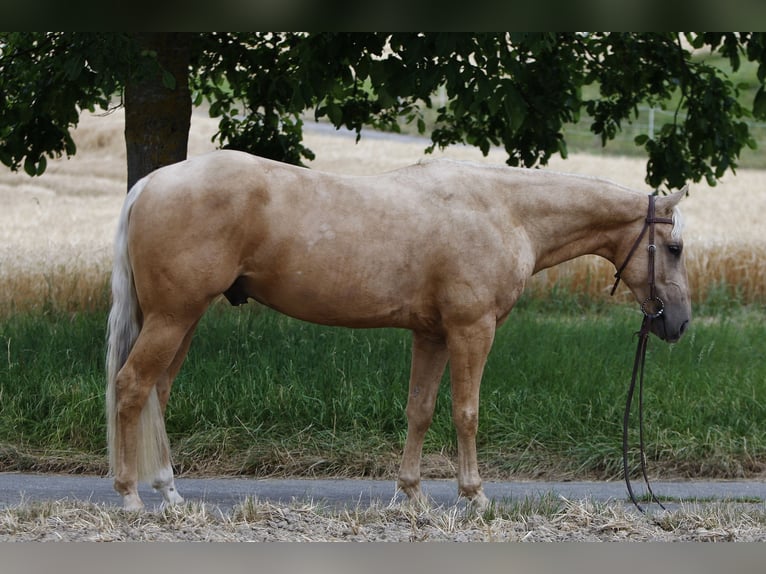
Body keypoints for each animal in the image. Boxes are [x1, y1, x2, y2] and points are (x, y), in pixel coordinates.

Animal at [106, 150, 691, 511]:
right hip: (173, 318)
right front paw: (475, 495)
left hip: (182, 320)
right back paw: (130, 495)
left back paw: (168, 493)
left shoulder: (431, 334)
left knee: (157, 392)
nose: (679, 322)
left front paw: (412, 493)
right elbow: (466, 412)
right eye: (676, 247)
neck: (505, 211)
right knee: (132, 387)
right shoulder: (471, 330)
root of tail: (151, 183)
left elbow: (420, 409)